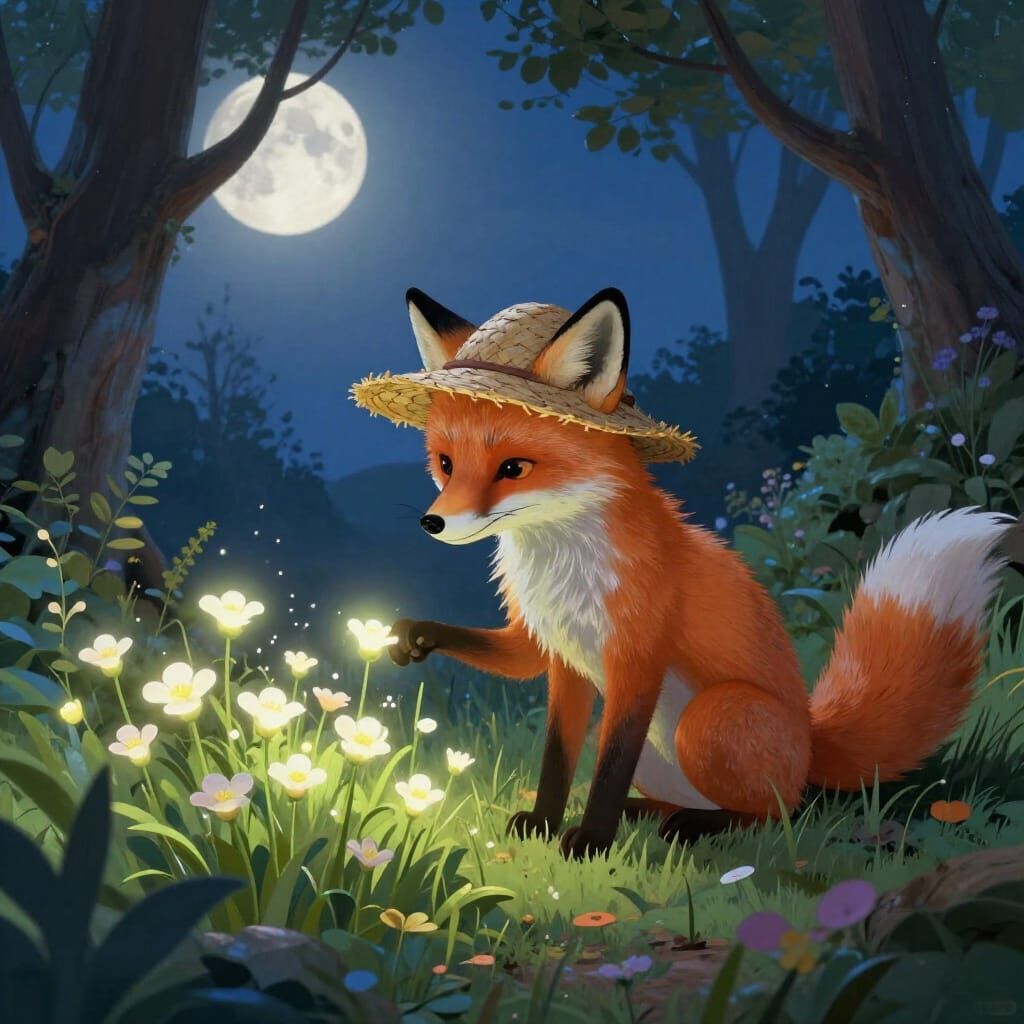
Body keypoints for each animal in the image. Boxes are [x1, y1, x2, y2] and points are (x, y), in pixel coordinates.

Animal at [367, 286, 1015, 860]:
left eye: (513, 468)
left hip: (710, 719)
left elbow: (608, 768)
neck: (562, 563)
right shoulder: (559, 656)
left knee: (779, 812)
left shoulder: (637, 661)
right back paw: (653, 814)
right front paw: (545, 822)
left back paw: (699, 827)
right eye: (445, 463)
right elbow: (555, 754)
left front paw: (590, 841)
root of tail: (812, 739)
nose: (433, 523)